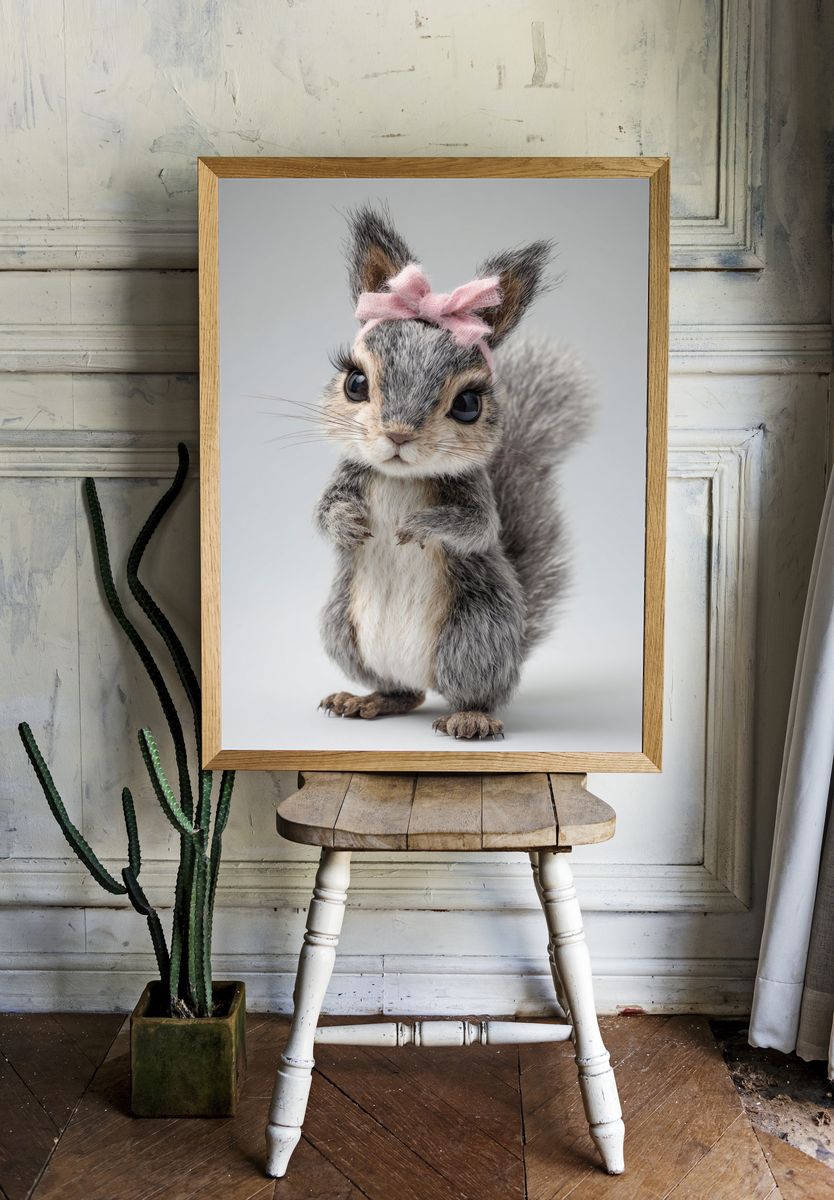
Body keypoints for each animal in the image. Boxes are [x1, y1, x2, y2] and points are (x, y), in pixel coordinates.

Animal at [315, 205, 591, 739]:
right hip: (343, 630)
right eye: (355, 382)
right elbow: (322, 513)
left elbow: (479, 527)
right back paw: (365, 699)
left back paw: (471, 717)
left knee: (475, 691)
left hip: (475, 634)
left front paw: (418, 527)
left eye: (468, 404)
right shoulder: (348, 474)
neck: (401, 478)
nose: (398, 434)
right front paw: (348, 523)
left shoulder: (474, 492)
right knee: (404, 692)